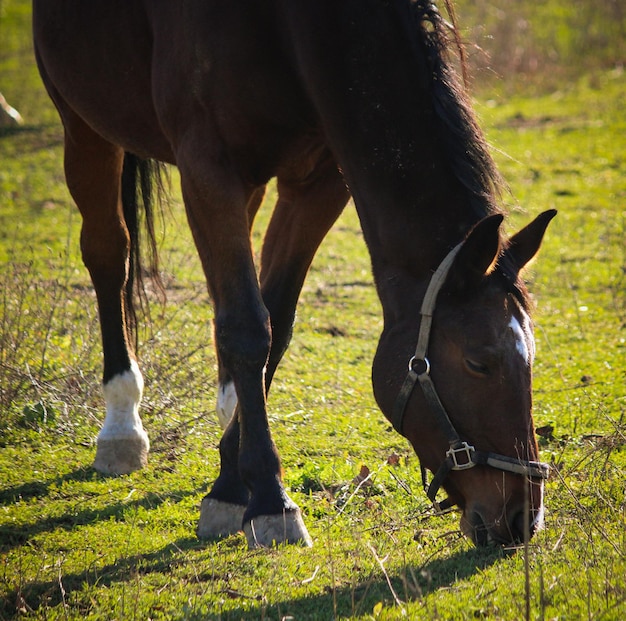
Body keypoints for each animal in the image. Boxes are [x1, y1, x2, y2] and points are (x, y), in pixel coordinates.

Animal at [31, 0, 552, 544]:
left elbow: (273, 324)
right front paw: (267, 500)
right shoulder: (208, 168)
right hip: (84, 125)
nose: (521, 515)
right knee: (110, 256)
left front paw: (230, 480)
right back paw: (121, 426)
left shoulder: (317, 181)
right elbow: (247, 328)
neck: (294, 27)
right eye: (479, 362)